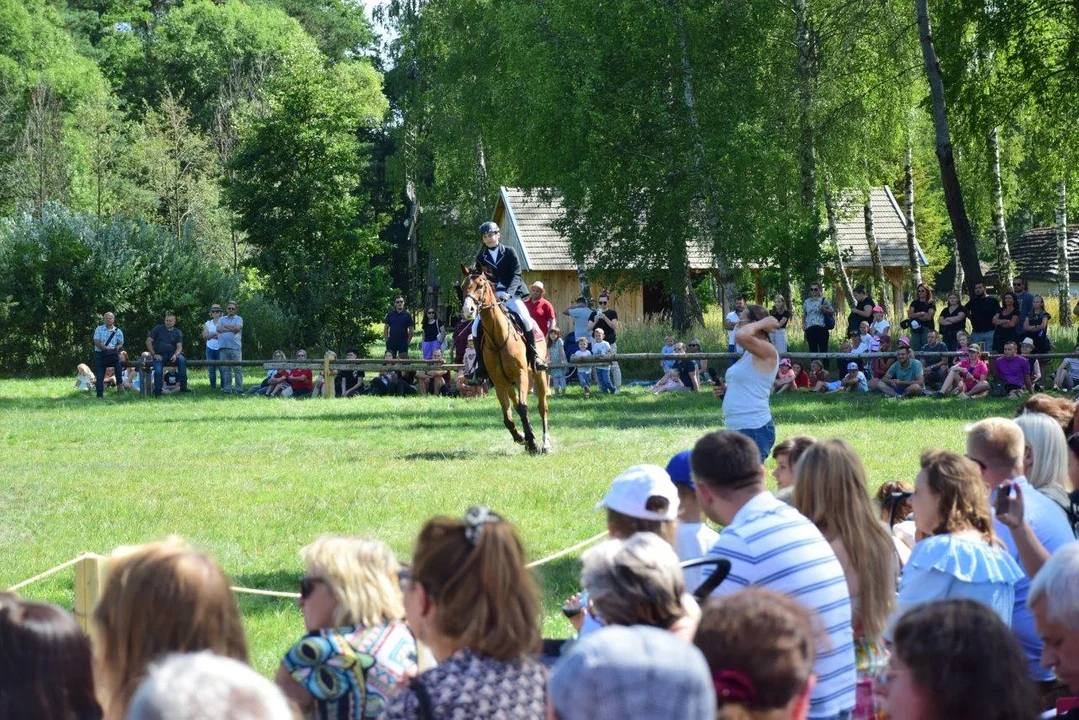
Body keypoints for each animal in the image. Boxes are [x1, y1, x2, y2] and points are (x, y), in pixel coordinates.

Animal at [459, 267, 552, 453]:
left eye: (480, 285)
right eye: (463, 286)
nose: (468, 310)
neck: (498, 338)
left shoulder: (521, 374)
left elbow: (523, 407)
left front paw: (532, 443)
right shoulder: (499, 381)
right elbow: (508, 417)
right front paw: (522, 437)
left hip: (538, 375)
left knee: (542, 407)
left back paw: (545, 443)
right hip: (509, 383)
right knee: (516, 405)